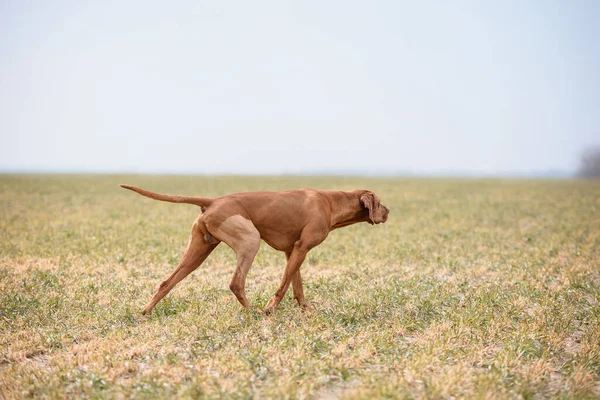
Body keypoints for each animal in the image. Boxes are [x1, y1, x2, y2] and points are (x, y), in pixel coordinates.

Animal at [119, 183, 390, 314]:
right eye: (380, 202)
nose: (388, 211)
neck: (331, 202)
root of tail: (213, 201)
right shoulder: (301, 248)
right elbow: (282, 287)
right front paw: (271, 309)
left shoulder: (293, 251)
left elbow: (297, 287)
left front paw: (305, 309)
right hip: (250, 241)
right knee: (236, 283)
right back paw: (255, 312)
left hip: (198, 251)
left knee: (167, 282)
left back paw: (146, 311)